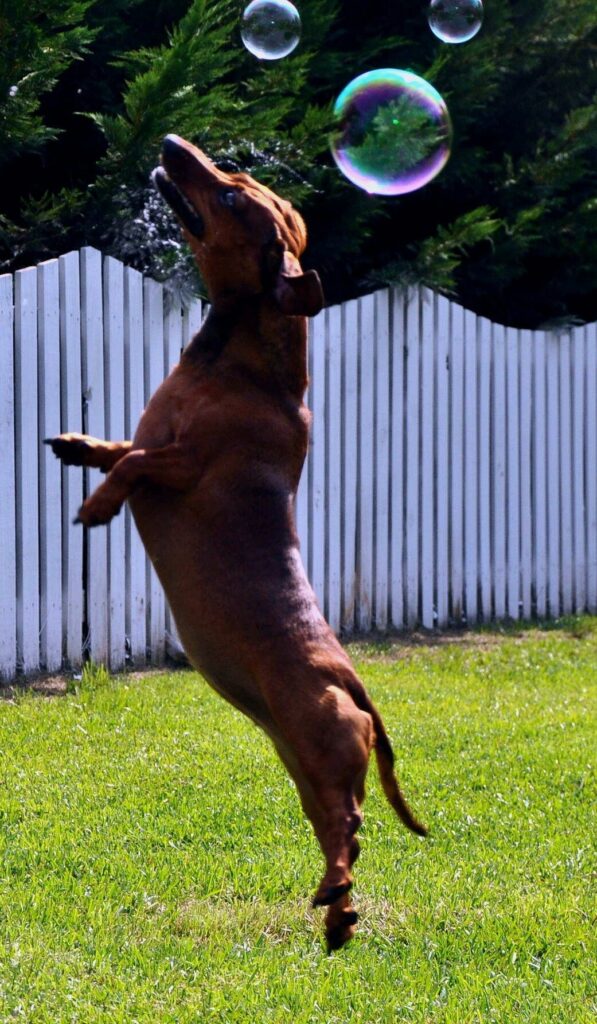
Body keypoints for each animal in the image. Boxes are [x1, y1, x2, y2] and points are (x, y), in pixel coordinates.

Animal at [49, 136, 428, 950]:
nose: (170, 146)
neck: (239, 364)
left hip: (321, 742)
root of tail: (354, 681)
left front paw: (98, 503)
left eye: (229, 195)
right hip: (302, 763)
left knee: (350, 825)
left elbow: (132, 463)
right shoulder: (153, 439)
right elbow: (117, 446)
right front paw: (76, 447)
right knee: (343, 833)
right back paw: (337, 911)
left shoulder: (183, 466)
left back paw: (339, 898)